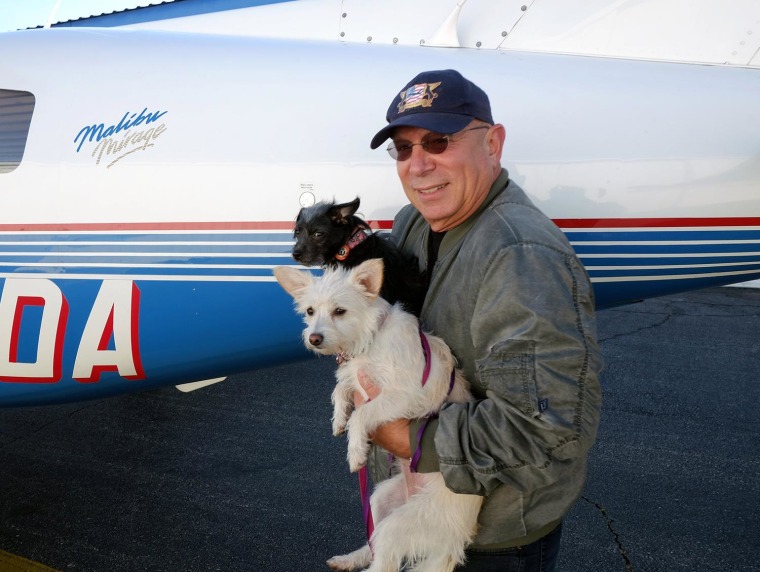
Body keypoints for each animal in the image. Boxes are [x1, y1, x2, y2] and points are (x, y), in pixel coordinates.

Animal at [274, 260, 480, 572]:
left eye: (340, 311)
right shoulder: (356, 374)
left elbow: (362, 413)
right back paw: (348, 559)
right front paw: (338, 418)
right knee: (372, 540)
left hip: (402, 525)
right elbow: (341, 387)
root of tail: (455, 542)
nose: (314, 338)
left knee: (384, 561)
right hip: (380, 498)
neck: (370, 338)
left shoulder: (405, 395)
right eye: (309, 311)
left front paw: (355, 451)